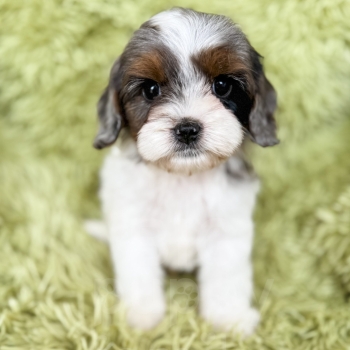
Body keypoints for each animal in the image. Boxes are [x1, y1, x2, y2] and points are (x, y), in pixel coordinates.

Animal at [89, 7, 278, 336]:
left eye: (222, 86)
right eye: (151, 89)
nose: (187, 129)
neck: (181, 177)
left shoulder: (227, 230)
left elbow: (226, 277)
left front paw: (228, 318)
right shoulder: (133, 228)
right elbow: (138, 275)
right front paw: (141, 317)